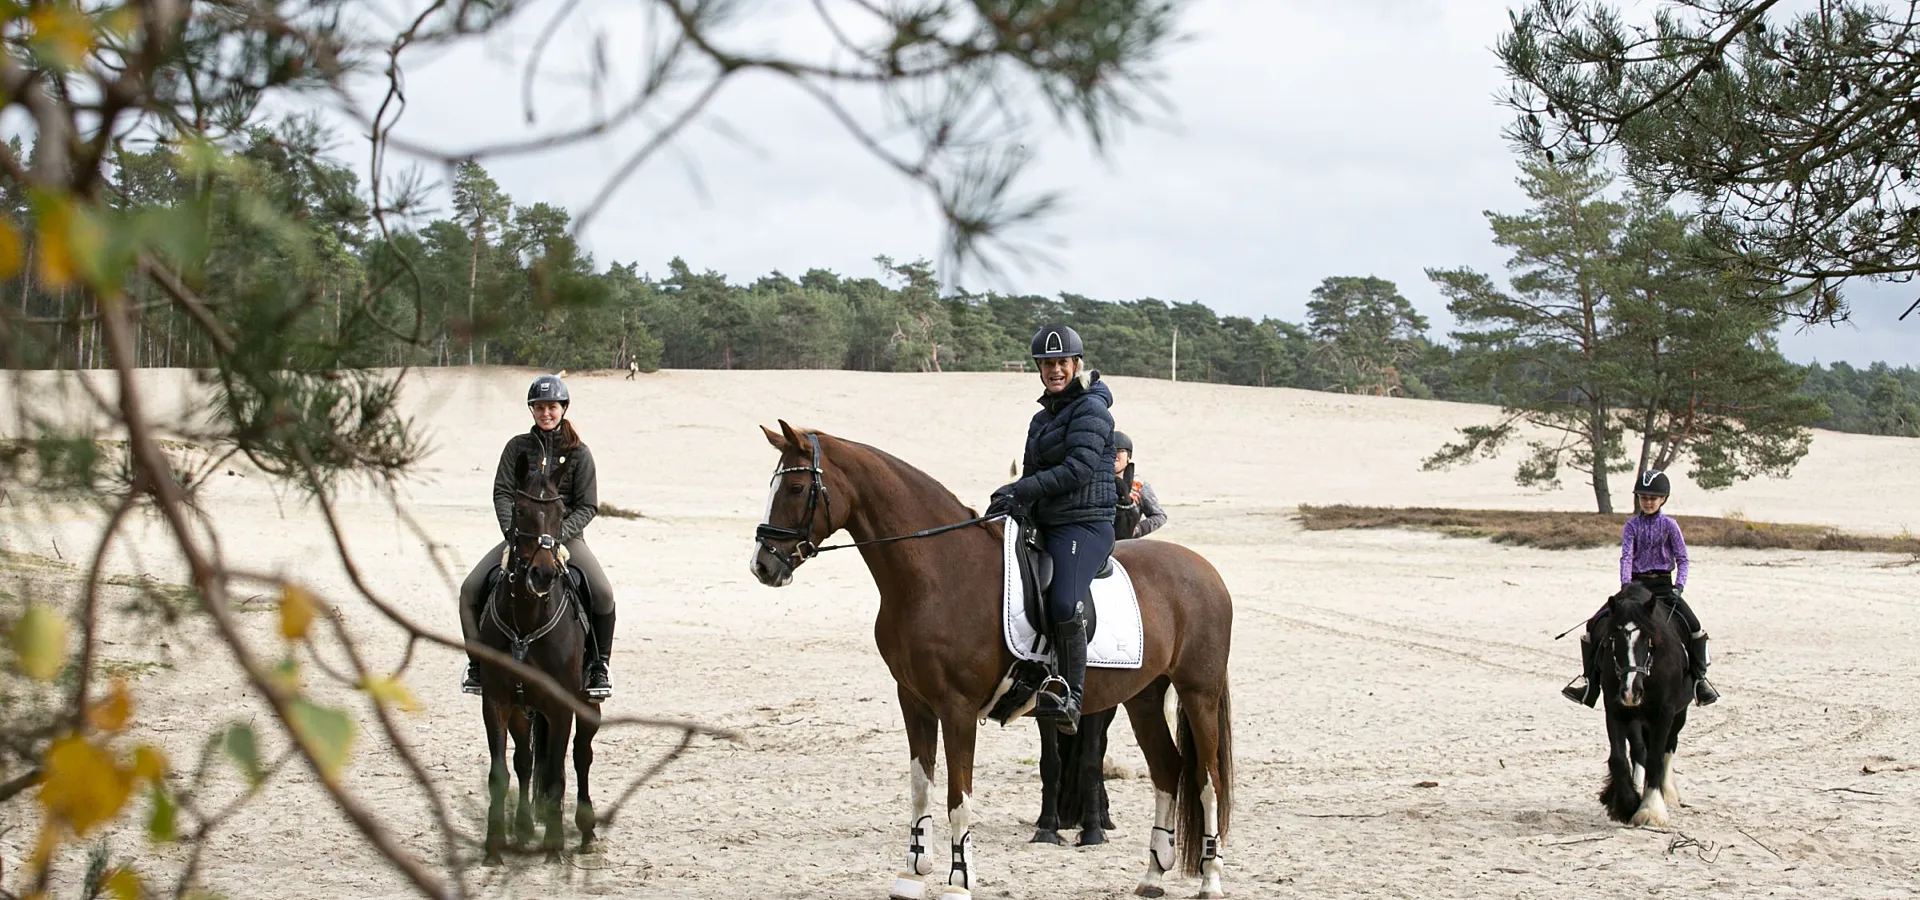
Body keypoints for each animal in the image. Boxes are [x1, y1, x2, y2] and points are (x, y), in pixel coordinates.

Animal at [474, 458, 599, 859]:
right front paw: (495, 844)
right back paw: (525, 826)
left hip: (588, 704)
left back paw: (586, 830)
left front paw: (555, 845)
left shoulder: (560, 708)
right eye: (521, 509)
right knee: (526, 760)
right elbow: (502, 772)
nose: (543, 573)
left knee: (581, 755)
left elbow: (558, 773)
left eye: (559, 513)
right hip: (522, 708)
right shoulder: (497, 701)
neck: (527, 622)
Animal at [741, 422, 1236, 898]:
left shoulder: (957, 707)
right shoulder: (914, 702)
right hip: (1144, 698)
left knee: (1208, 780)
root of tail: (1206, 571)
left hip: (1198, 692)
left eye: (796, 488)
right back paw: (1152, 876)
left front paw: (959, 882)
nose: (763, 565)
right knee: (1168, 771)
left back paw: (1210, 880)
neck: (938, 572)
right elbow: (921, 789)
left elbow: (958, 798)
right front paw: (912, 875)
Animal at [1589, 579, 1697, 825]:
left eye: (1648, 640)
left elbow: (1657, 758)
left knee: (1668, 747)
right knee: (1640, 750)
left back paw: (1668, 794)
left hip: (1679, 714)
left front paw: (1651, 810)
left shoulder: (1665, 712)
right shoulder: (1616, 710)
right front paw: (1627, 804)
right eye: (1613, 638)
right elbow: (1619, 758)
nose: (1632, 691)